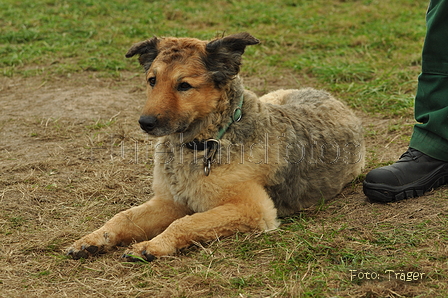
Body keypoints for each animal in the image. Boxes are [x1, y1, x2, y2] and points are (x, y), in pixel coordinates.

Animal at [68, 32, 366, 260]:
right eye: (152, 81)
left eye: (184, 85)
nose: (145, 123)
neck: (207, 142)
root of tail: (328, 95)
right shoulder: (169, 201)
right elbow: (124, 217)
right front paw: (93, 239)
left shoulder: (252, 208)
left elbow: (185, 222)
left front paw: (154, 245)